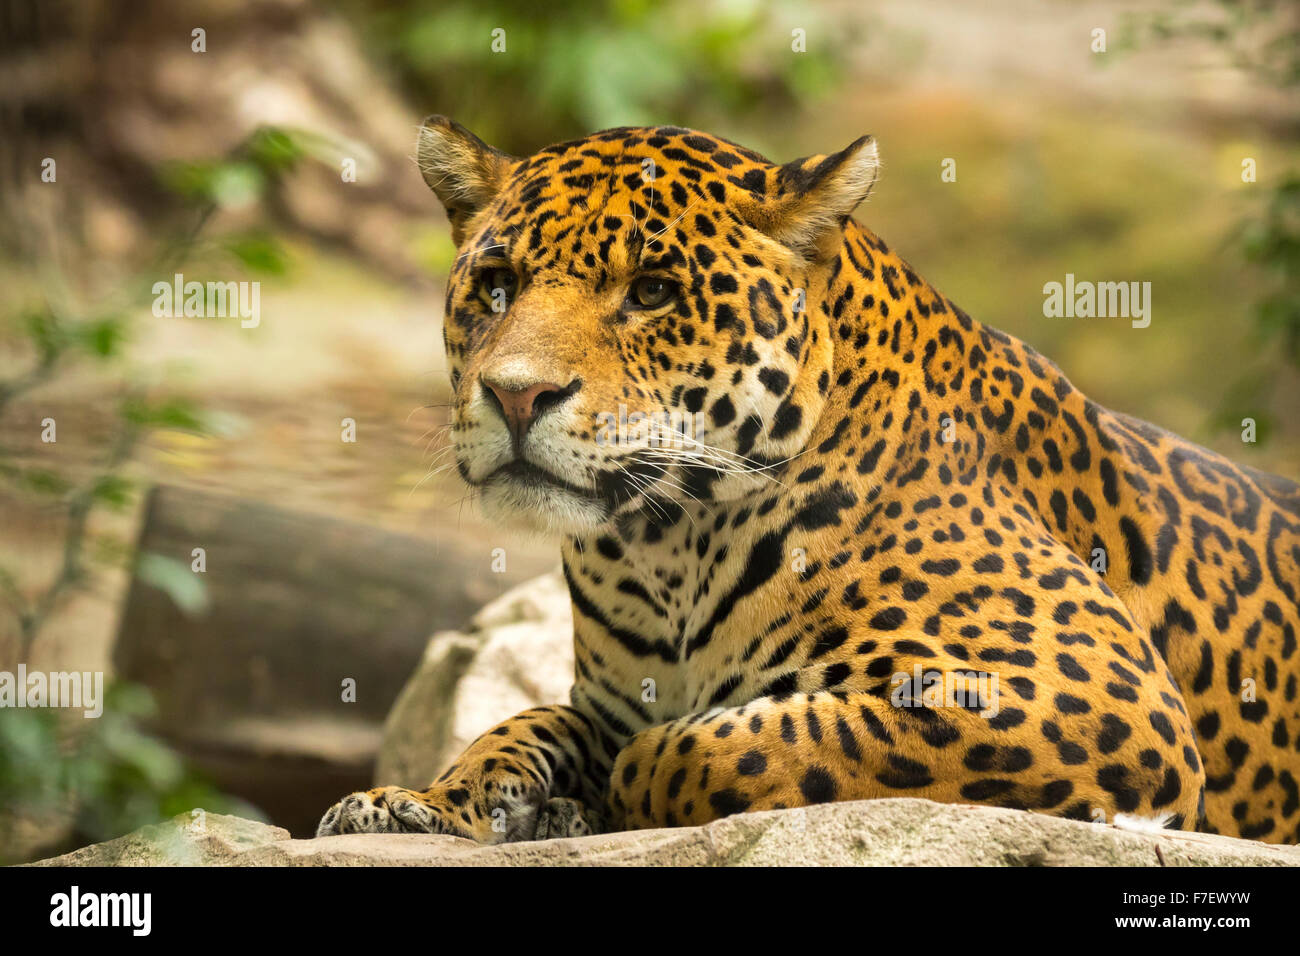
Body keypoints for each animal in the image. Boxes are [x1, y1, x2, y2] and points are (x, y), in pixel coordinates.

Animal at [317, 116, 1300, 845]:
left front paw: (583, 807)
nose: (516, 394)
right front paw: (424, 804)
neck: (661, 543)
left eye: (651, 291)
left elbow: (713, 748)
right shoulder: (609, 699)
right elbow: (525, 722)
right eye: (496, 283)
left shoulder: (1089, 695)